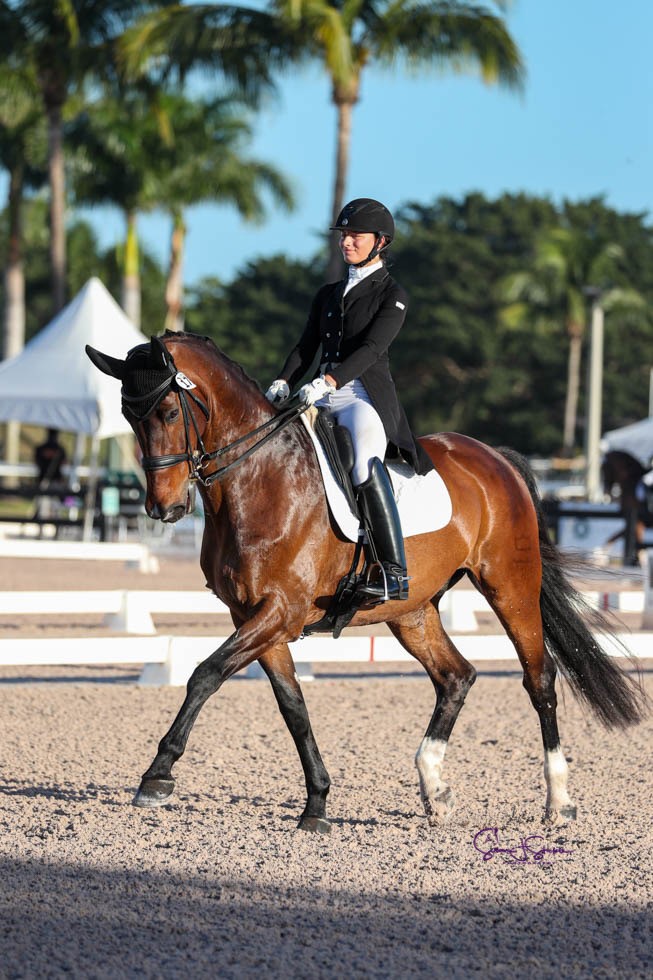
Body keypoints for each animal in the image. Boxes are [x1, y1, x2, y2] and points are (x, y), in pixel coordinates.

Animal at [86, 332, 646, 833]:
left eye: (168, 413)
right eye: (129, 417)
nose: (163, 509)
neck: (261, 479)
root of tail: (494, 457)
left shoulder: (280, 612)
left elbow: (205, 674)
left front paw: (157, 777)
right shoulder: (254, 616)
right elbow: (293, 706)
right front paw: (316, 805)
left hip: (510, 587)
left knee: (539, 679)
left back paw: (559, 802)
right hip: (412, 610)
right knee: (456, 676)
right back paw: (435, 791)